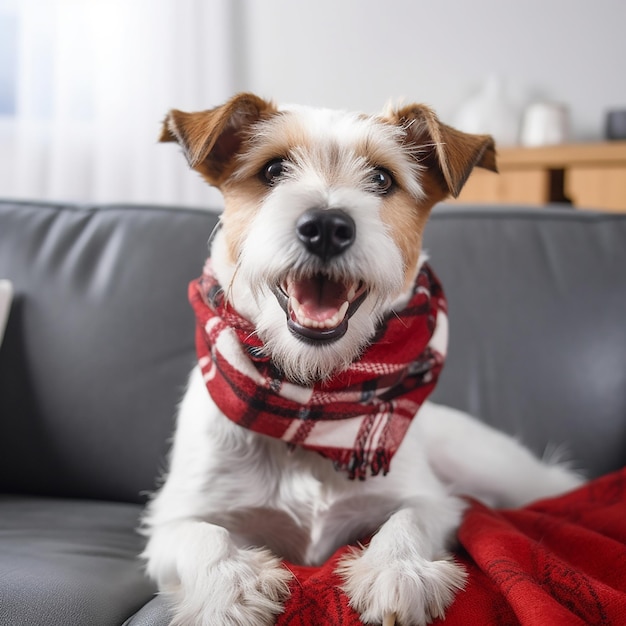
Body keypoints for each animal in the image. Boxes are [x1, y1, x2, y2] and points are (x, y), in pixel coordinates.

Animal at [140, 94, 580, 624]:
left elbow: (407, 520)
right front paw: (232, 589)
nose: (327, 227)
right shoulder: (174, 517)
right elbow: (204, 535)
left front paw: (399, 570)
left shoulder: (433, 501)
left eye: (382, 179)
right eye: (273, 170)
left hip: (499, 471)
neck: (311, 402)